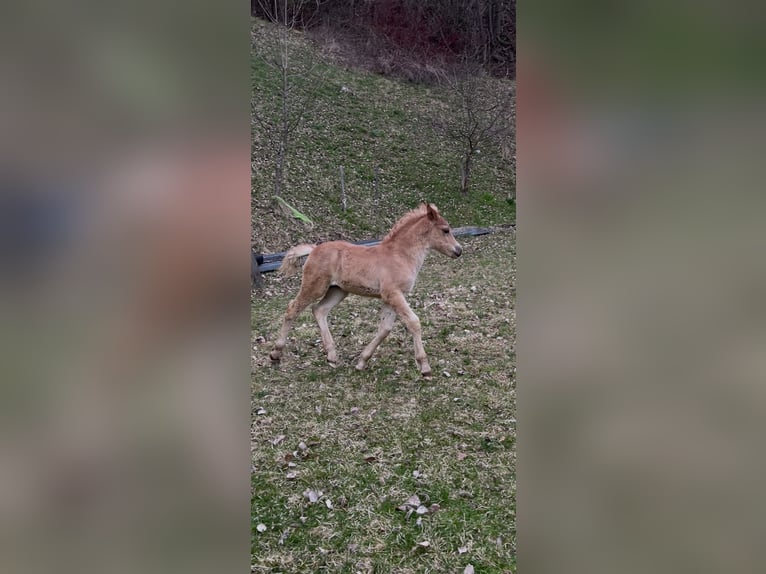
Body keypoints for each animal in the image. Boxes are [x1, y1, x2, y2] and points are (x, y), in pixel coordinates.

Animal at [269, 203, 462, 377]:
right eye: (446, 230)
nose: (459, 251)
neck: (400, 255)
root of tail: (314, 249)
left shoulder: (390, 297)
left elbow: (385, 329)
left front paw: (362, 361)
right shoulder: (393, 294)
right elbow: (414, 322)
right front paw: (425, 367)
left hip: (338, 290)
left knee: (319, 310)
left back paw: (332, 356)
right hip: (315, 286)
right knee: (292, 308)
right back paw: (276, 354)